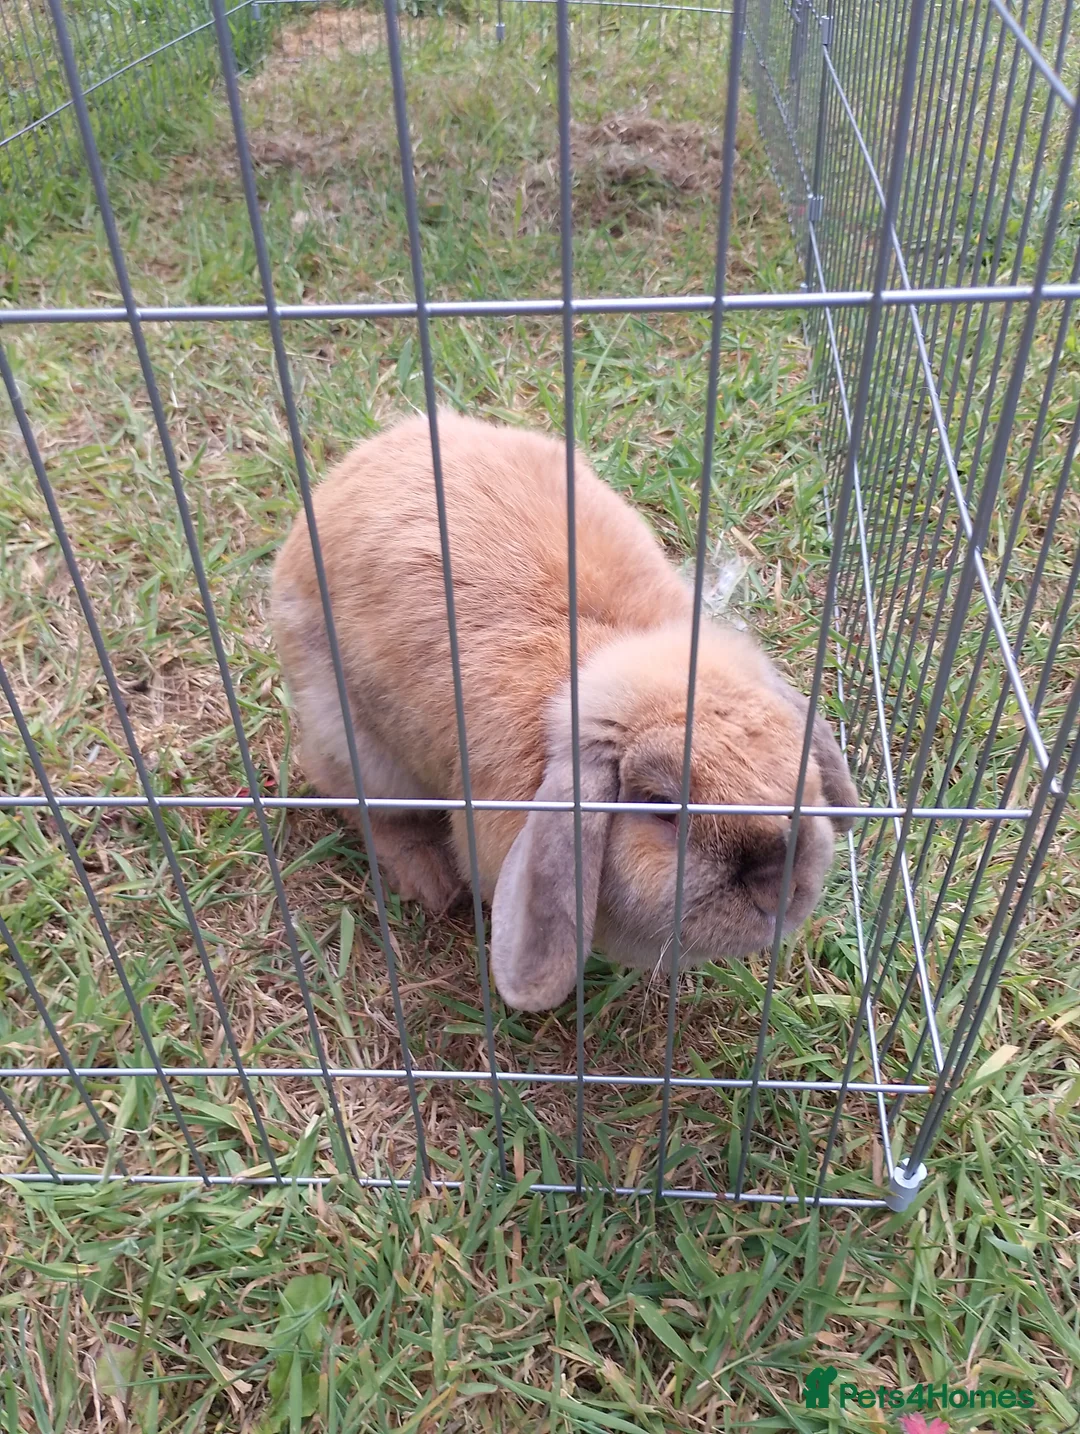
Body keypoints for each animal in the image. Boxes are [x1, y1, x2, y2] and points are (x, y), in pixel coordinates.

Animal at [270, 409, 858, 1012]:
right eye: (661, 807)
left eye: (801, 768)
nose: (783, 889)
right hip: (358, 745)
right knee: (363, 803)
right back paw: (428, 878)